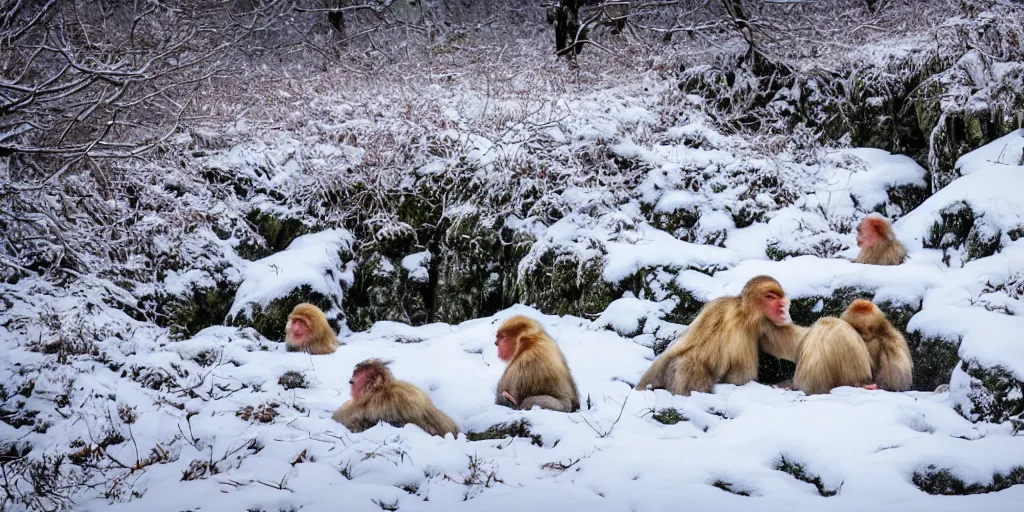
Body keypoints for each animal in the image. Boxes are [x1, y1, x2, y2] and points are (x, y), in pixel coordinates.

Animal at [630, 276, 806, 395]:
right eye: (770, 297)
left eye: (779, 296)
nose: (783, 305)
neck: (745, 313)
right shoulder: (735, 320)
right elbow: (740, 376)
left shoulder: (763, 323)